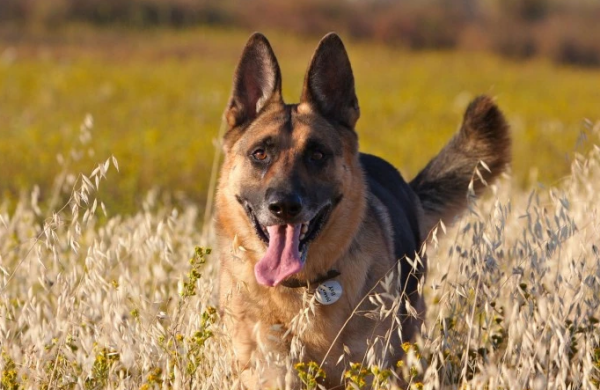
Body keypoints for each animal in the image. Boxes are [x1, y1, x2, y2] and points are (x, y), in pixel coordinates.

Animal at [213, 32, 508, 388]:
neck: (304, 288)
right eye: (260, 154)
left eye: (317, 155)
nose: (284, 206)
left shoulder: (369, 367)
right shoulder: (270, 368)